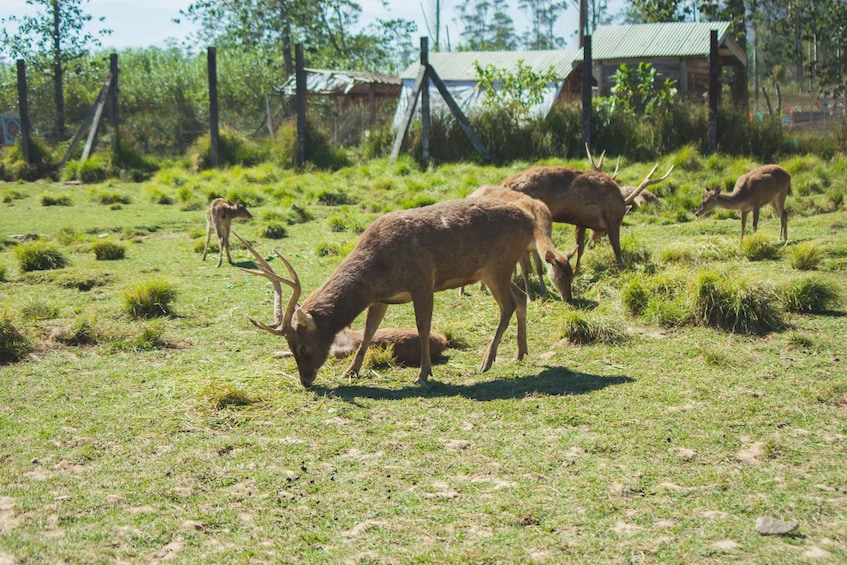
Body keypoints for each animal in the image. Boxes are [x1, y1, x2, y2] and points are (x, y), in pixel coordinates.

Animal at [234, 196, 555, 388]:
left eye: (301, 346)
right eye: (291, 347)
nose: (305, 380)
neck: (378, 268)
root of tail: (529, 220)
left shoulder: (423, 280)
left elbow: (423, 325)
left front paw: (424, 373)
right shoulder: (380, 299)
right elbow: (368, 333)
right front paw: (351, 371)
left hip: (497, 265)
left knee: (507, 305)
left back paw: (486, 362)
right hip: (493, 270)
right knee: (520, 297)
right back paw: (520, 352)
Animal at [501, 161, 673, 275]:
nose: (595, 235)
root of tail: (504, 184)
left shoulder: (581, 221)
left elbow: (580, 247)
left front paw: (577, 270)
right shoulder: (613, 219)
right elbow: (616, 247)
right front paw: (621, 268)